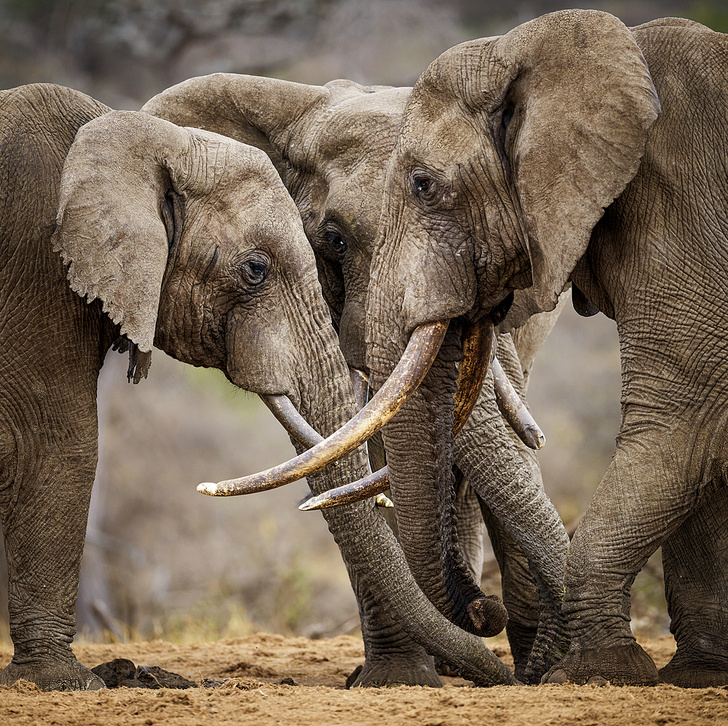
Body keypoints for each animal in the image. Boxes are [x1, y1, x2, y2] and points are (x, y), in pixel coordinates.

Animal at [0, 82, 512, 692]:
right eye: (256, 270)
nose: (488, 612)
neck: (139, 136)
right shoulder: (39, 275)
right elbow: (59, 446)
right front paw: (60, 683)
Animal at [290, 11, 728, 688]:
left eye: (423, 185)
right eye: (331, 242)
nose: (484, 609)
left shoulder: (681, 214)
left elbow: (683, 418)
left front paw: (599, 671)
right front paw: (694, 677)